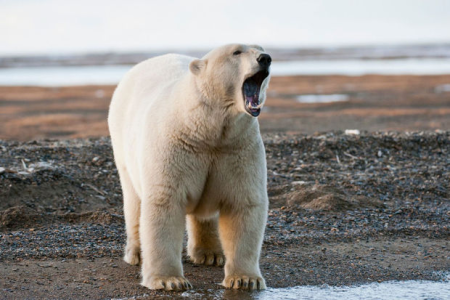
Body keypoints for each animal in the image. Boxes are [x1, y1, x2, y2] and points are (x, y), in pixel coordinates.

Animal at [108, 43, 270, 290]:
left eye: (260, 48)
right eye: (236, 52)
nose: (265, 58)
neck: (206, 129)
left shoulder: (236, 148)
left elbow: (244, 203)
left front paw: (245, 279)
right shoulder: (176, 146)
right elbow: (165, 201)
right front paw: (169, 280)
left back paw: (211, 254)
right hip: (123, 147)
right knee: (134, 200)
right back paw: (136, 252)